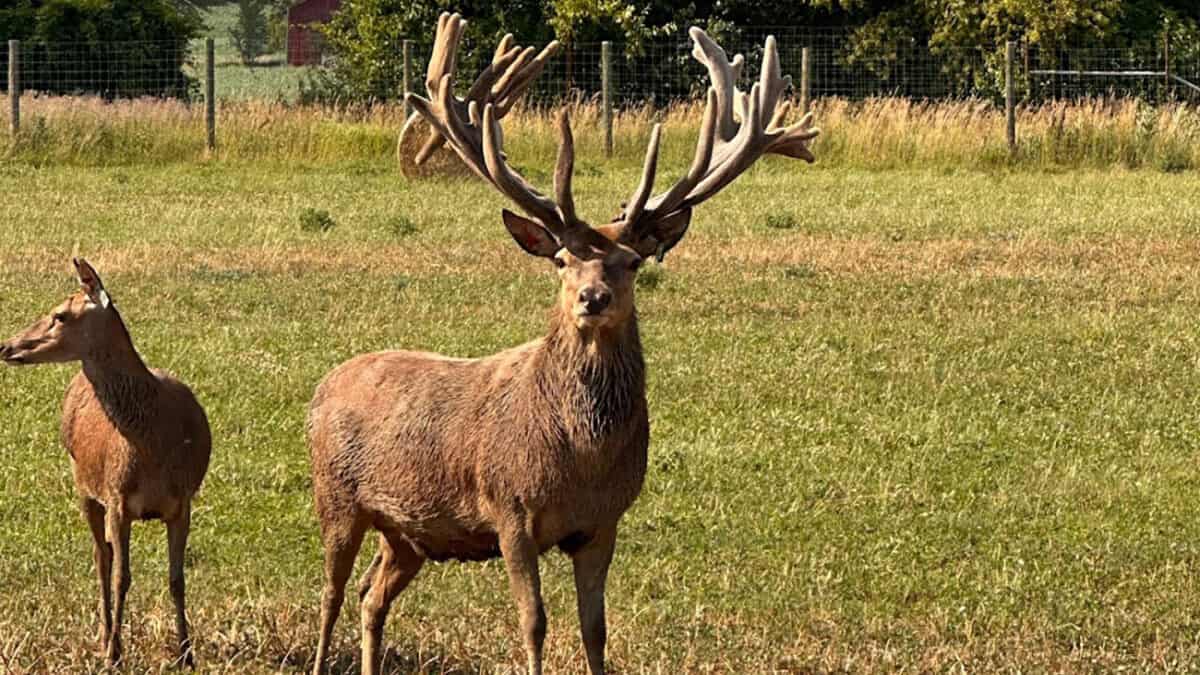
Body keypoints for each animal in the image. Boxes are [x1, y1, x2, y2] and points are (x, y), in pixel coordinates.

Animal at [0, 258, 211, 668]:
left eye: (60, 315)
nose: (7, 345)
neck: (154, 448)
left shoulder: (183, 502)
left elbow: (176, 579)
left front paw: (187, 653)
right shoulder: (117, 497)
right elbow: (121, 576)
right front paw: (114, 652)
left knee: (108, 554)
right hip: (82, 484)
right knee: (101, 557)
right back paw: (103, 635)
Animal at [306, 13, 818, 675]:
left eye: (631, 262)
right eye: (562, 260)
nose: (592, 298)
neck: (581, 457)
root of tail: (324, 386)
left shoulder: (603, 523)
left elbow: (595, 629)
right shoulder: (509, 510)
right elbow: (534, 623)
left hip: (410, 533)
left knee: (372, 594)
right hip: (335, 496)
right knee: (331, 593)